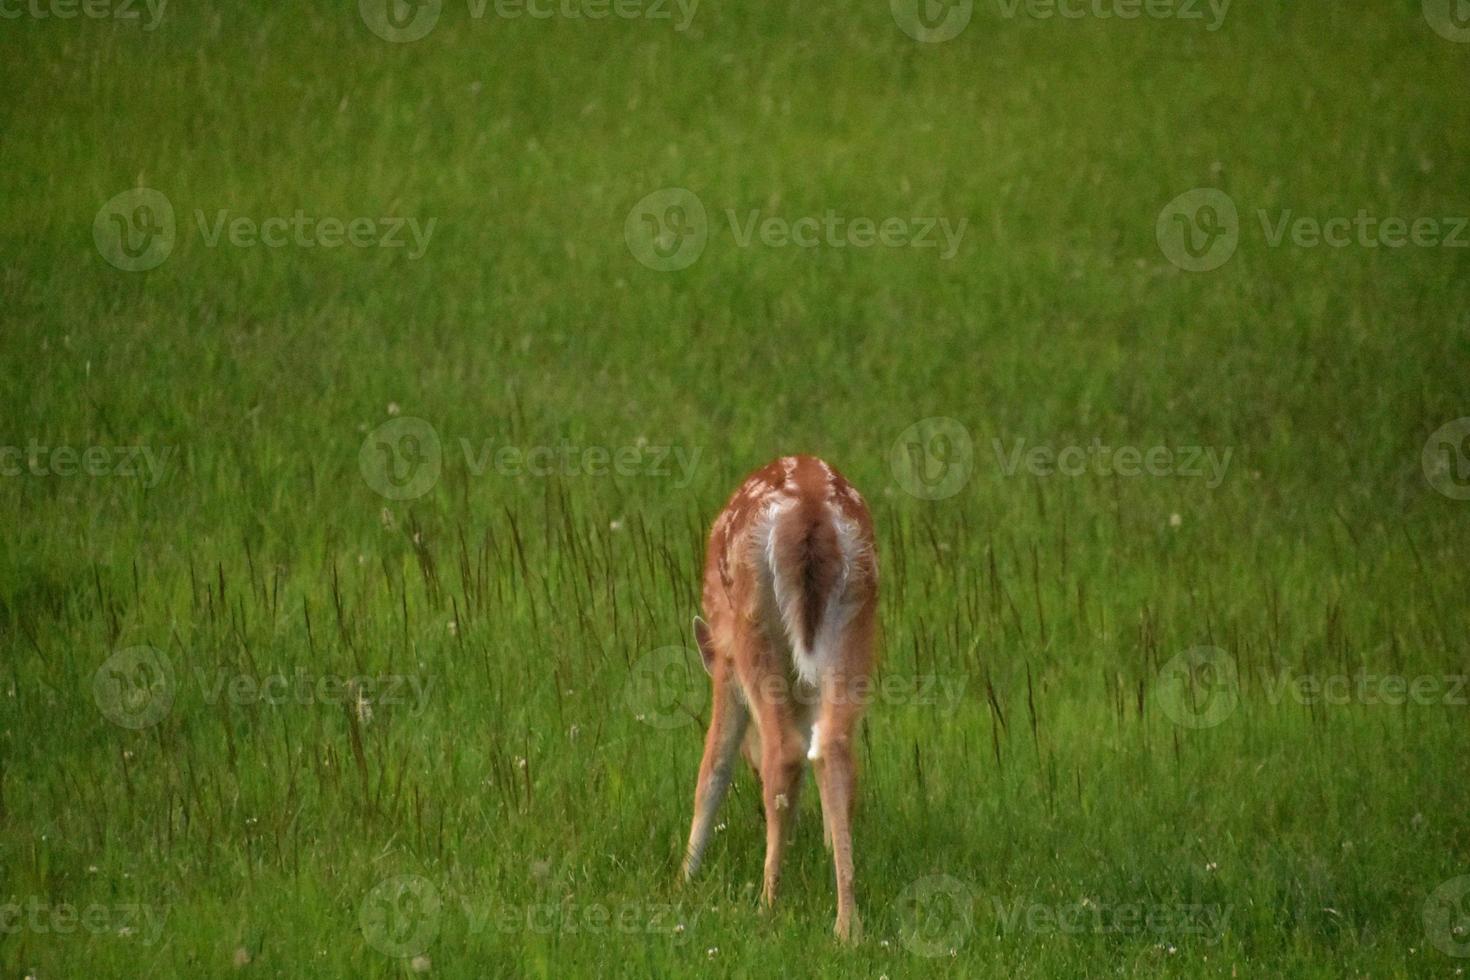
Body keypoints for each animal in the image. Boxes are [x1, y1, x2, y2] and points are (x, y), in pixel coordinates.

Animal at [682, 455, 876, 940]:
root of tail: (809, 509)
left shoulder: (726, 661)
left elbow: (713, 766)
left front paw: (684, 878)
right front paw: (825, 842)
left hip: (751, 619)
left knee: (785, 749)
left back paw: (767, 904)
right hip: (857, 615)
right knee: (833, 747)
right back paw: (847, 924)